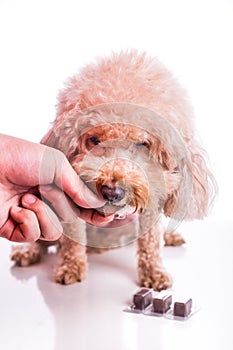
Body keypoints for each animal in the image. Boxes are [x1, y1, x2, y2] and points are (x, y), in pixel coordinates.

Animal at [10, 50, 216, 292]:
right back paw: (28, 250)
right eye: (94, 140)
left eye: (142, 144)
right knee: (42, 238)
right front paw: (71, 268)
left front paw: (154, 272)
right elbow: (72, 238)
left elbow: (151, 242)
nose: (111, 191)